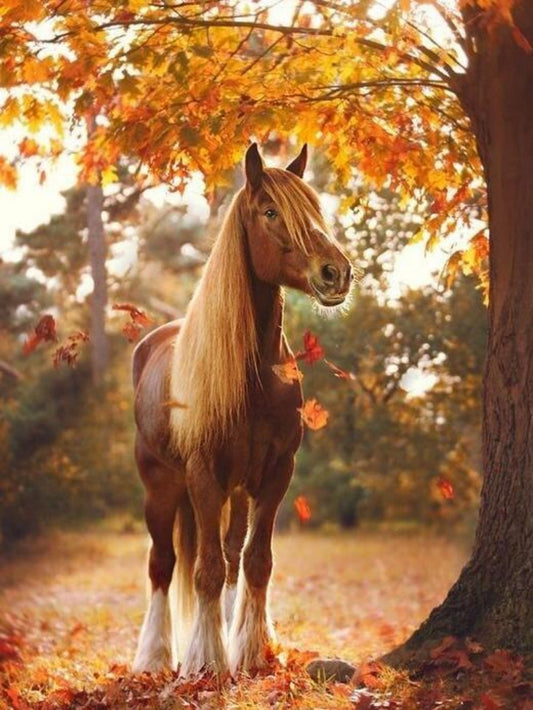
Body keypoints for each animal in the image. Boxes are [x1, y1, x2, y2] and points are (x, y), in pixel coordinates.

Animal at [132, 143, 353, 677]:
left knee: (231, 555)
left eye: (315, 210)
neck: (253, 376)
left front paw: (250, 651)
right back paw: (154, 657)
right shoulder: (203, 475)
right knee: (163, 564)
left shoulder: (274, 474)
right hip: (161, 486)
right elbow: (205, 569)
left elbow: (255, 561)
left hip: (234, 490)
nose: (335, 272)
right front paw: (205, 662)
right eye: (270, 212)